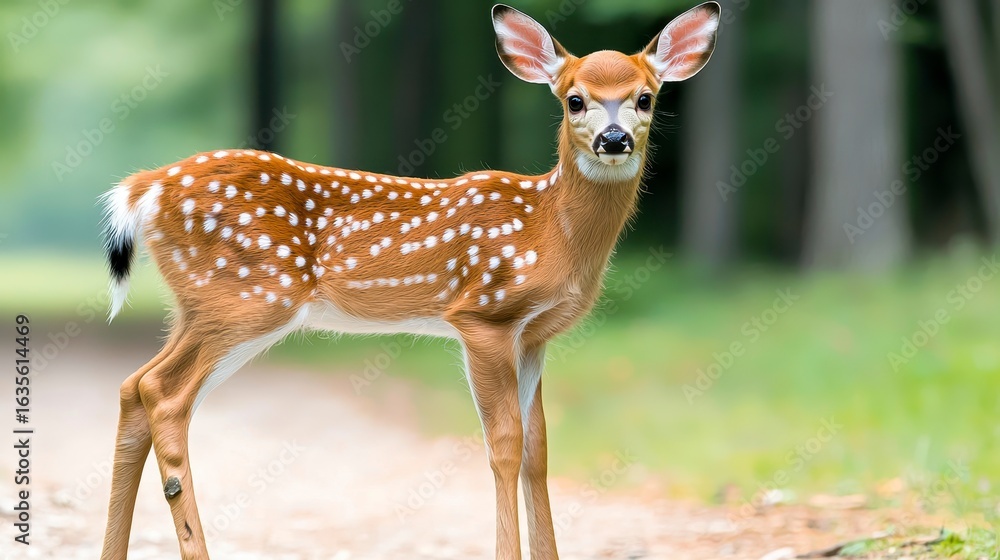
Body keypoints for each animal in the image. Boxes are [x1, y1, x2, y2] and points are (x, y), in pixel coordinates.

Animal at [98, 3, 720, 559]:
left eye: (646, 97)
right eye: (574, 99)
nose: (614, 140)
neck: (551, 232)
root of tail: (146, 188)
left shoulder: (534, 337)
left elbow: (539, 448)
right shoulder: (484, 314)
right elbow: (504, 446)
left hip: (200, 305)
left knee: (134, 385)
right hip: (248, 297)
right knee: (164, 395)